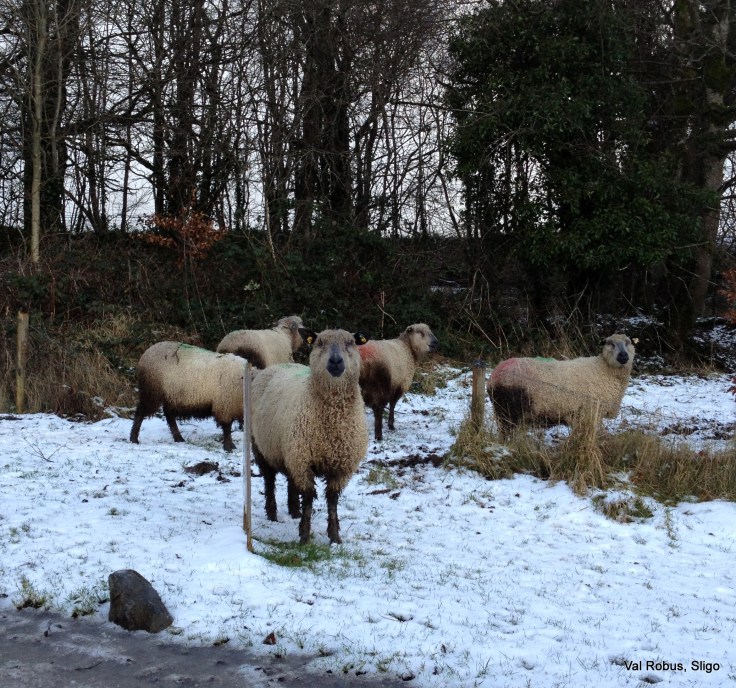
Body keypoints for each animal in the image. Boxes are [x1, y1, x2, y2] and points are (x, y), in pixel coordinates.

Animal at [250, 328, 369, 544]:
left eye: (350, 342)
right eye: (319, 342)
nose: (336, 361)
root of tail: (276, 366)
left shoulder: (341, 466)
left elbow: (332, 500)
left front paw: (335, 537)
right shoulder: (303, 460)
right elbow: (308, 497)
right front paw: (304, 536)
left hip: (289, 450)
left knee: (290, 480)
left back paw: (293, 511)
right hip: (262, 446)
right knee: (269, 480)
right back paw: (272, 514)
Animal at [487, 333, 636, 435]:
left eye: (628, 342)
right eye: (610, 343)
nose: (623, 356)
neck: (603, 369)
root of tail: (494, 376)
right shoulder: (590, 413)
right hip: (508, 412)